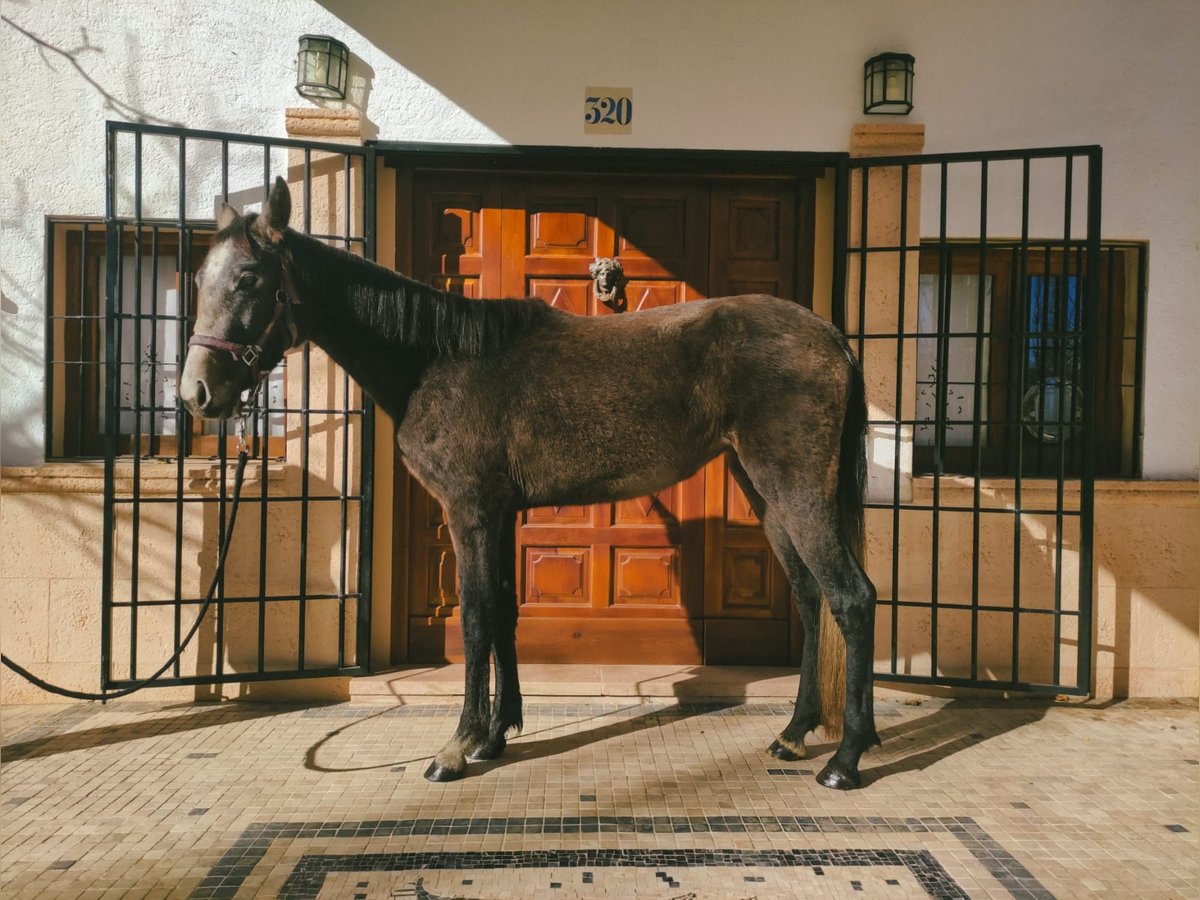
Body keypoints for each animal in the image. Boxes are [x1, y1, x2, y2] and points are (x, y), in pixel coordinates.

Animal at [177, 174, 883, 787]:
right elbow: (504, 612)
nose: (196, 394)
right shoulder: (501, 514)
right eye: (199, 278)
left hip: (794, 490)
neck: (434, 358)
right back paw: (794, 733)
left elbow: (476, 616)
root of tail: (831, 337)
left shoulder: (469, 511)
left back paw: (844, 759)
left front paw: (457, 747)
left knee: (851, 597)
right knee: (812, 598)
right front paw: (495, 734)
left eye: (248, 278)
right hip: (767, 495)